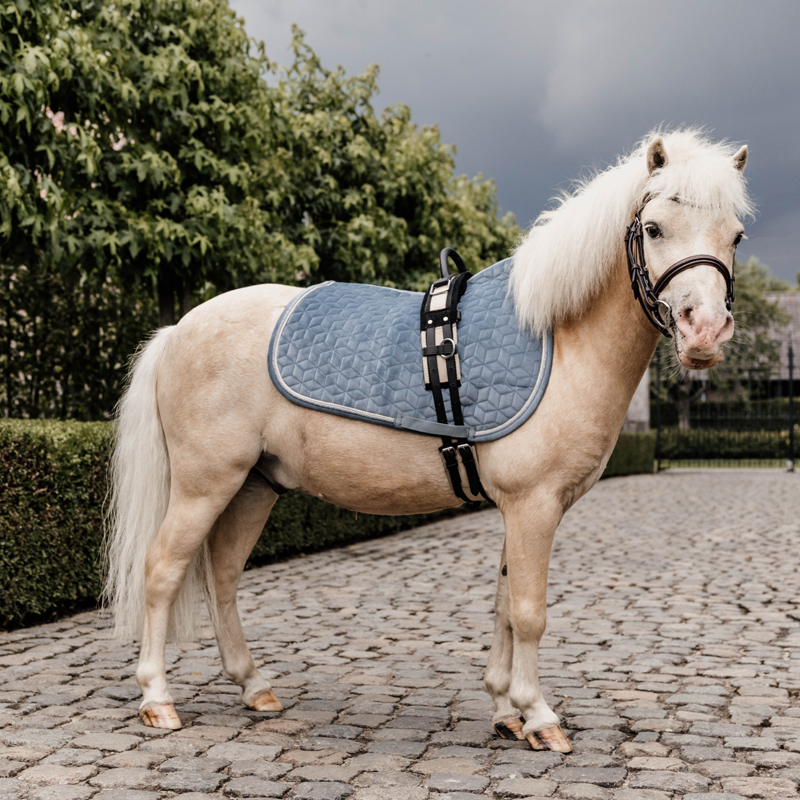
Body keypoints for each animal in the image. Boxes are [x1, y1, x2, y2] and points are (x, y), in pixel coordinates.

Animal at [105, 129, 752, 753]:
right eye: (653, 227)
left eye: (737, 236)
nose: (704, 331)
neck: (560, 340)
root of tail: (178, 328)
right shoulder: (534, 505)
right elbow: (529, 612)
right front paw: (540, 717)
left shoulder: (520, 509)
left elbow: (504, 605)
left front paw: (504, 710)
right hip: (205, 484)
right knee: (162, 569)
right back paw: (157, 699)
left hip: (254, 487)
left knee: (223, 578)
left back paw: (254, 686)